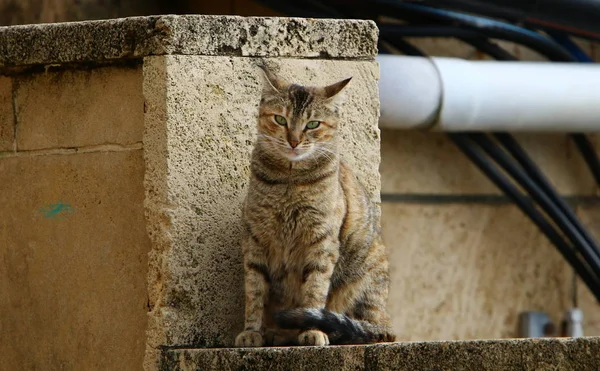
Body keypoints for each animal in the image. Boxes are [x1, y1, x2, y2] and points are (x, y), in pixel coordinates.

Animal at [236, 64, 398, 348]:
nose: (293, 141)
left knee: (369, 329)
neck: (289, 181)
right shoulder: (256, 238)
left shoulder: (321, 240)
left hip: (364, 277)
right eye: (280, 120)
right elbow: (254, 292)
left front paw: (311, 331)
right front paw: (252, 331)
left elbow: (314, 289)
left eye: (312, 124)